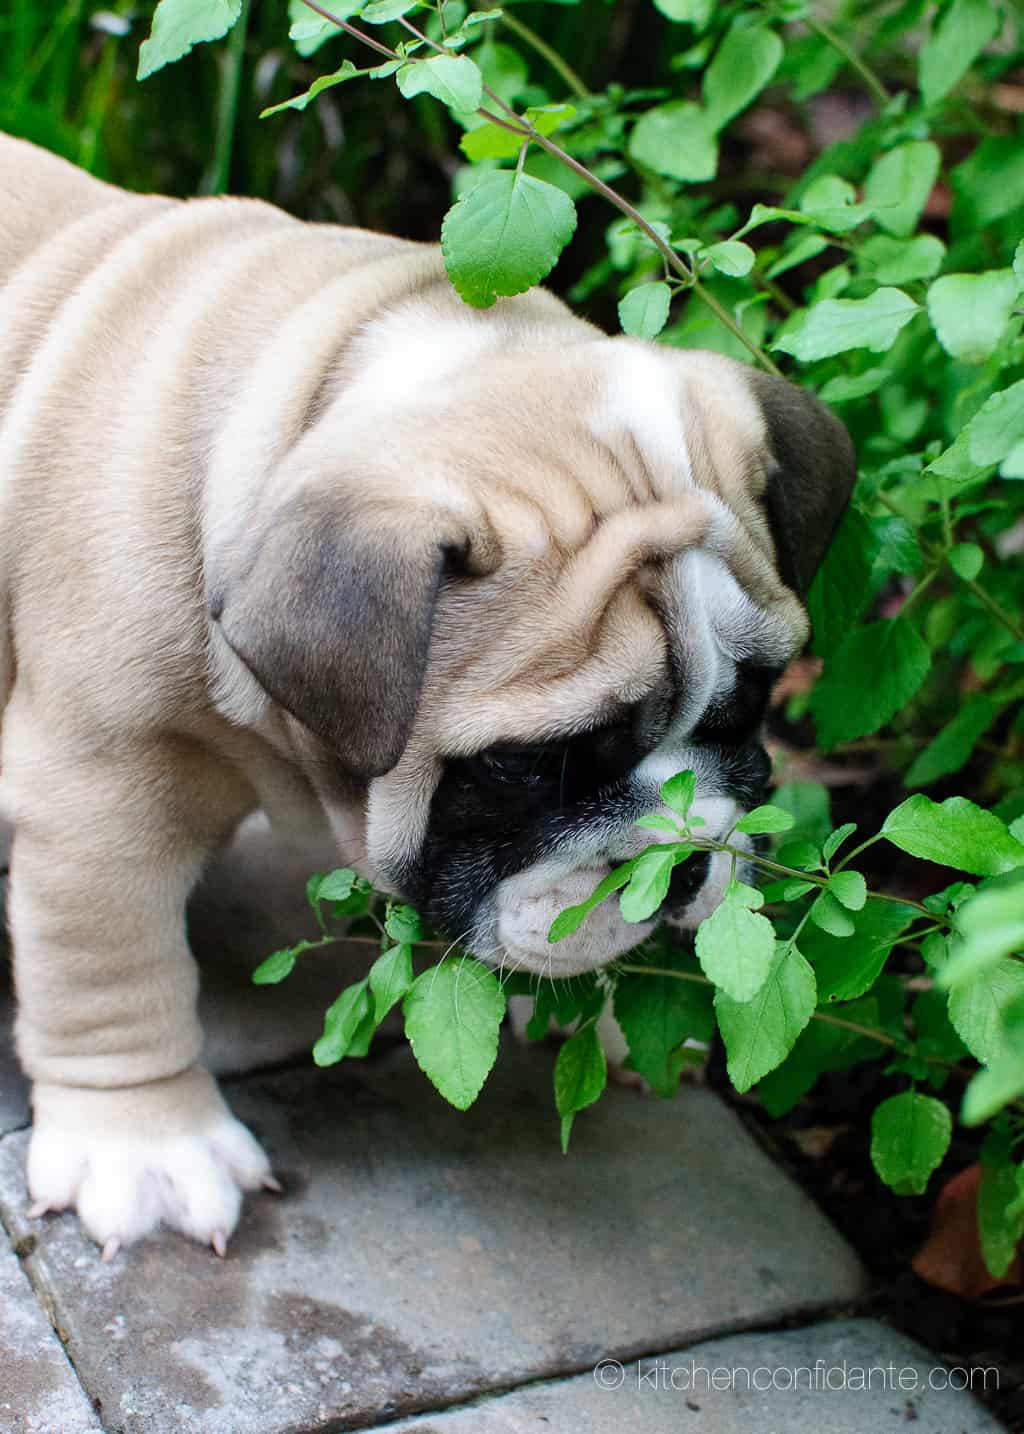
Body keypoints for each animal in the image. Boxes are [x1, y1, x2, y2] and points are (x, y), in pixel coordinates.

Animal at [0, 134, 854, 1256]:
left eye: (747, 703)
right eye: (526, 767)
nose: (676, 864)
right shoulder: (101, 792)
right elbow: (112, 972)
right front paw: (145, 1145)